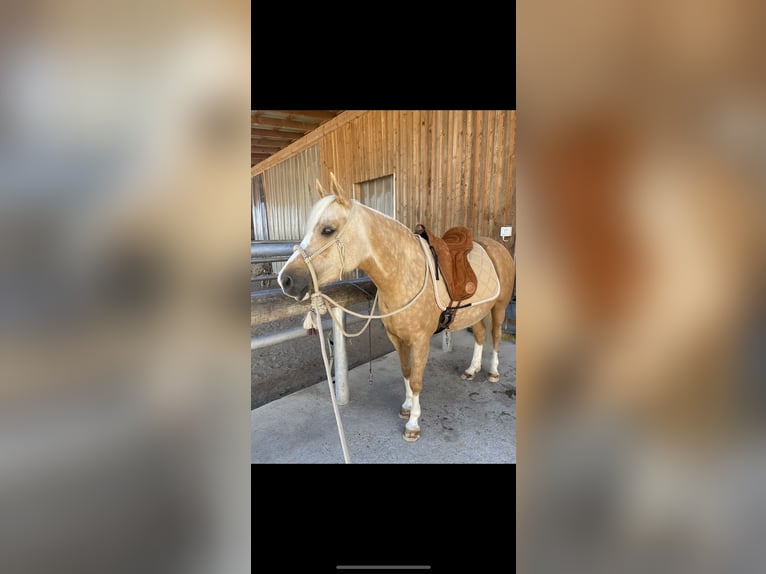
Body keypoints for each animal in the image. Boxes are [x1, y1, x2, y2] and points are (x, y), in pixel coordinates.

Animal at [278, 177, 515, 442]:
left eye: (328, 229)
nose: (285, 280)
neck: (404, 273)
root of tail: (496, 246)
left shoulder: (420, 341)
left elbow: (418, 381)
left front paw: (413, 425)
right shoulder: (397, 338)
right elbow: (406, 373)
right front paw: (407, 407)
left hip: (500, 307)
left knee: (495, 336)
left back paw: (492, 372)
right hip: (475, 312)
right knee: (480, 336)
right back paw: (472, 370)